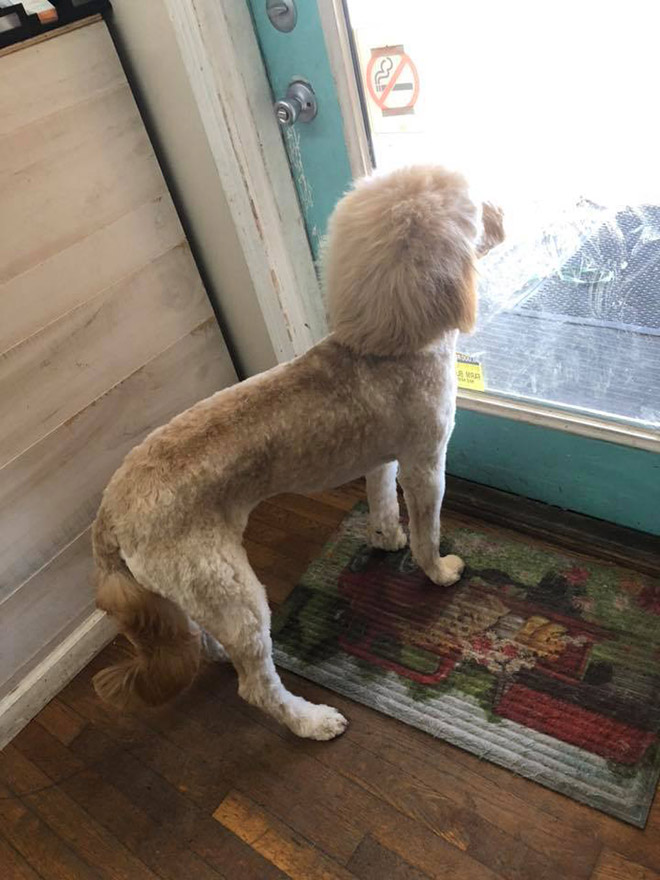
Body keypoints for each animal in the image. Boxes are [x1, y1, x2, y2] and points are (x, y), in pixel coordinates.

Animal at [91, 167, 506, 744]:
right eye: (473, 209)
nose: (503, 214)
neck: (388, 346)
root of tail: (108, 516)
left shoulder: (381, 457)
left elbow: (382, 501)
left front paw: (386, 539)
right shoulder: (426, 462)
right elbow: (428, 529)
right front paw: (439, 571)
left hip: (189, 588)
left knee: (205, 637)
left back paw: (218, 652)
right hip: (232, 589)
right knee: (256, 685)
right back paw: (311, 721)